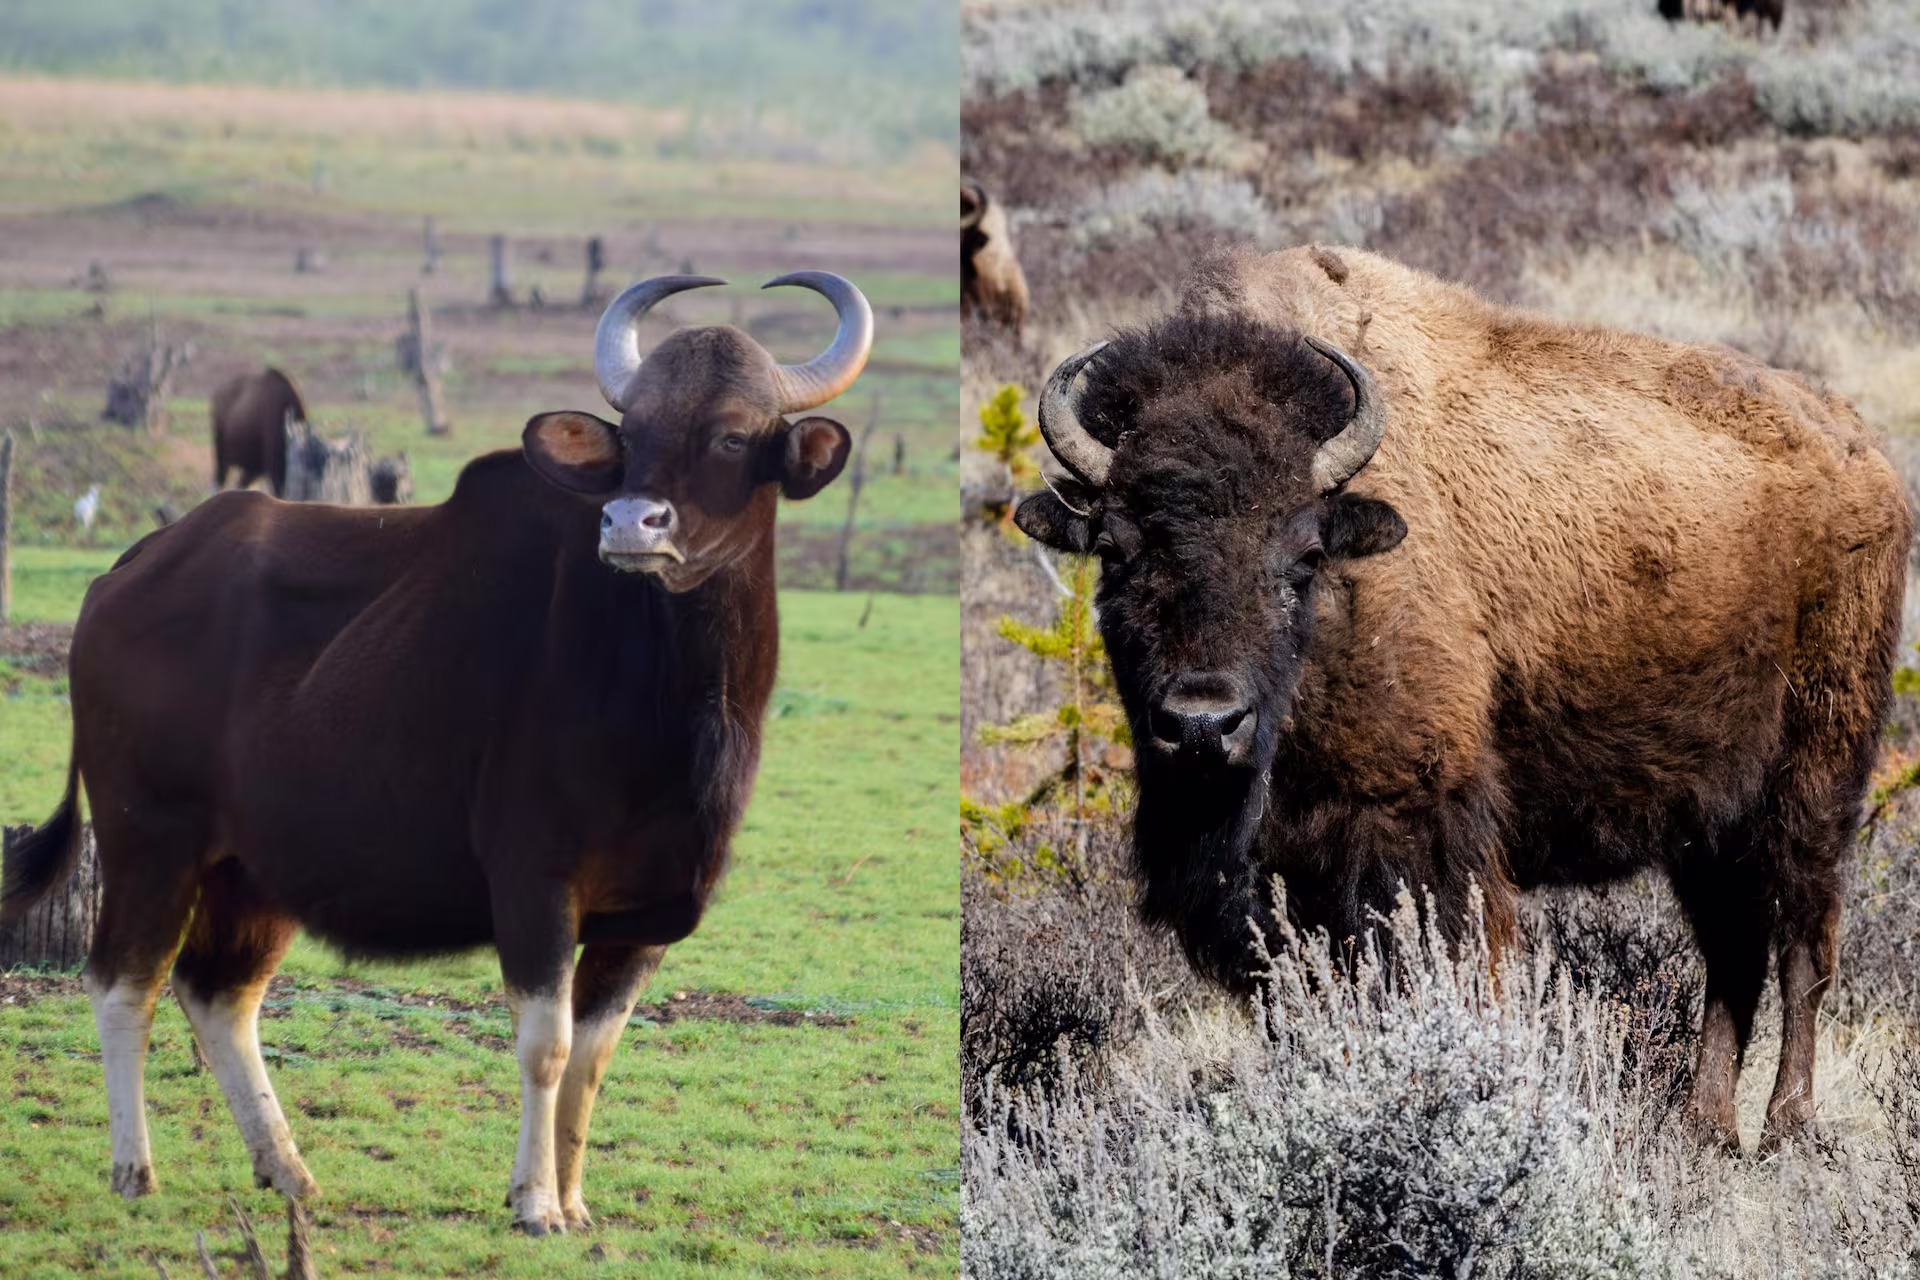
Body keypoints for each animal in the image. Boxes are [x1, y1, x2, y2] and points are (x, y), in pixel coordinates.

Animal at [1, 271, 871, 1232]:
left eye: (732, 435)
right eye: (632, 437)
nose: (630, 523)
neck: (667, 699)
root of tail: (131, 567)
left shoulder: (643, 920)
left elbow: (594, 1057)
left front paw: (575, 1202)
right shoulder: (535, 886)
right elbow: (544, 1045)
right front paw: (535, 1201)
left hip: (251, 868)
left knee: (219, 992)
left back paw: (287, 1168)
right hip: (147, 837)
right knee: (124, 982)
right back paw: (135, 1169)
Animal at [1015, 245, 1909, 1154]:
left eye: (1303, 556)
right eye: (1115, 552)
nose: (1202, 724)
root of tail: (1863, 453)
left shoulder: (1417, 836)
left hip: (1815, 779)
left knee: (1803, 945)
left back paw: (1788, 1126)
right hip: (1706, 820)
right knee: (1732, 953)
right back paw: (1705, 1128)